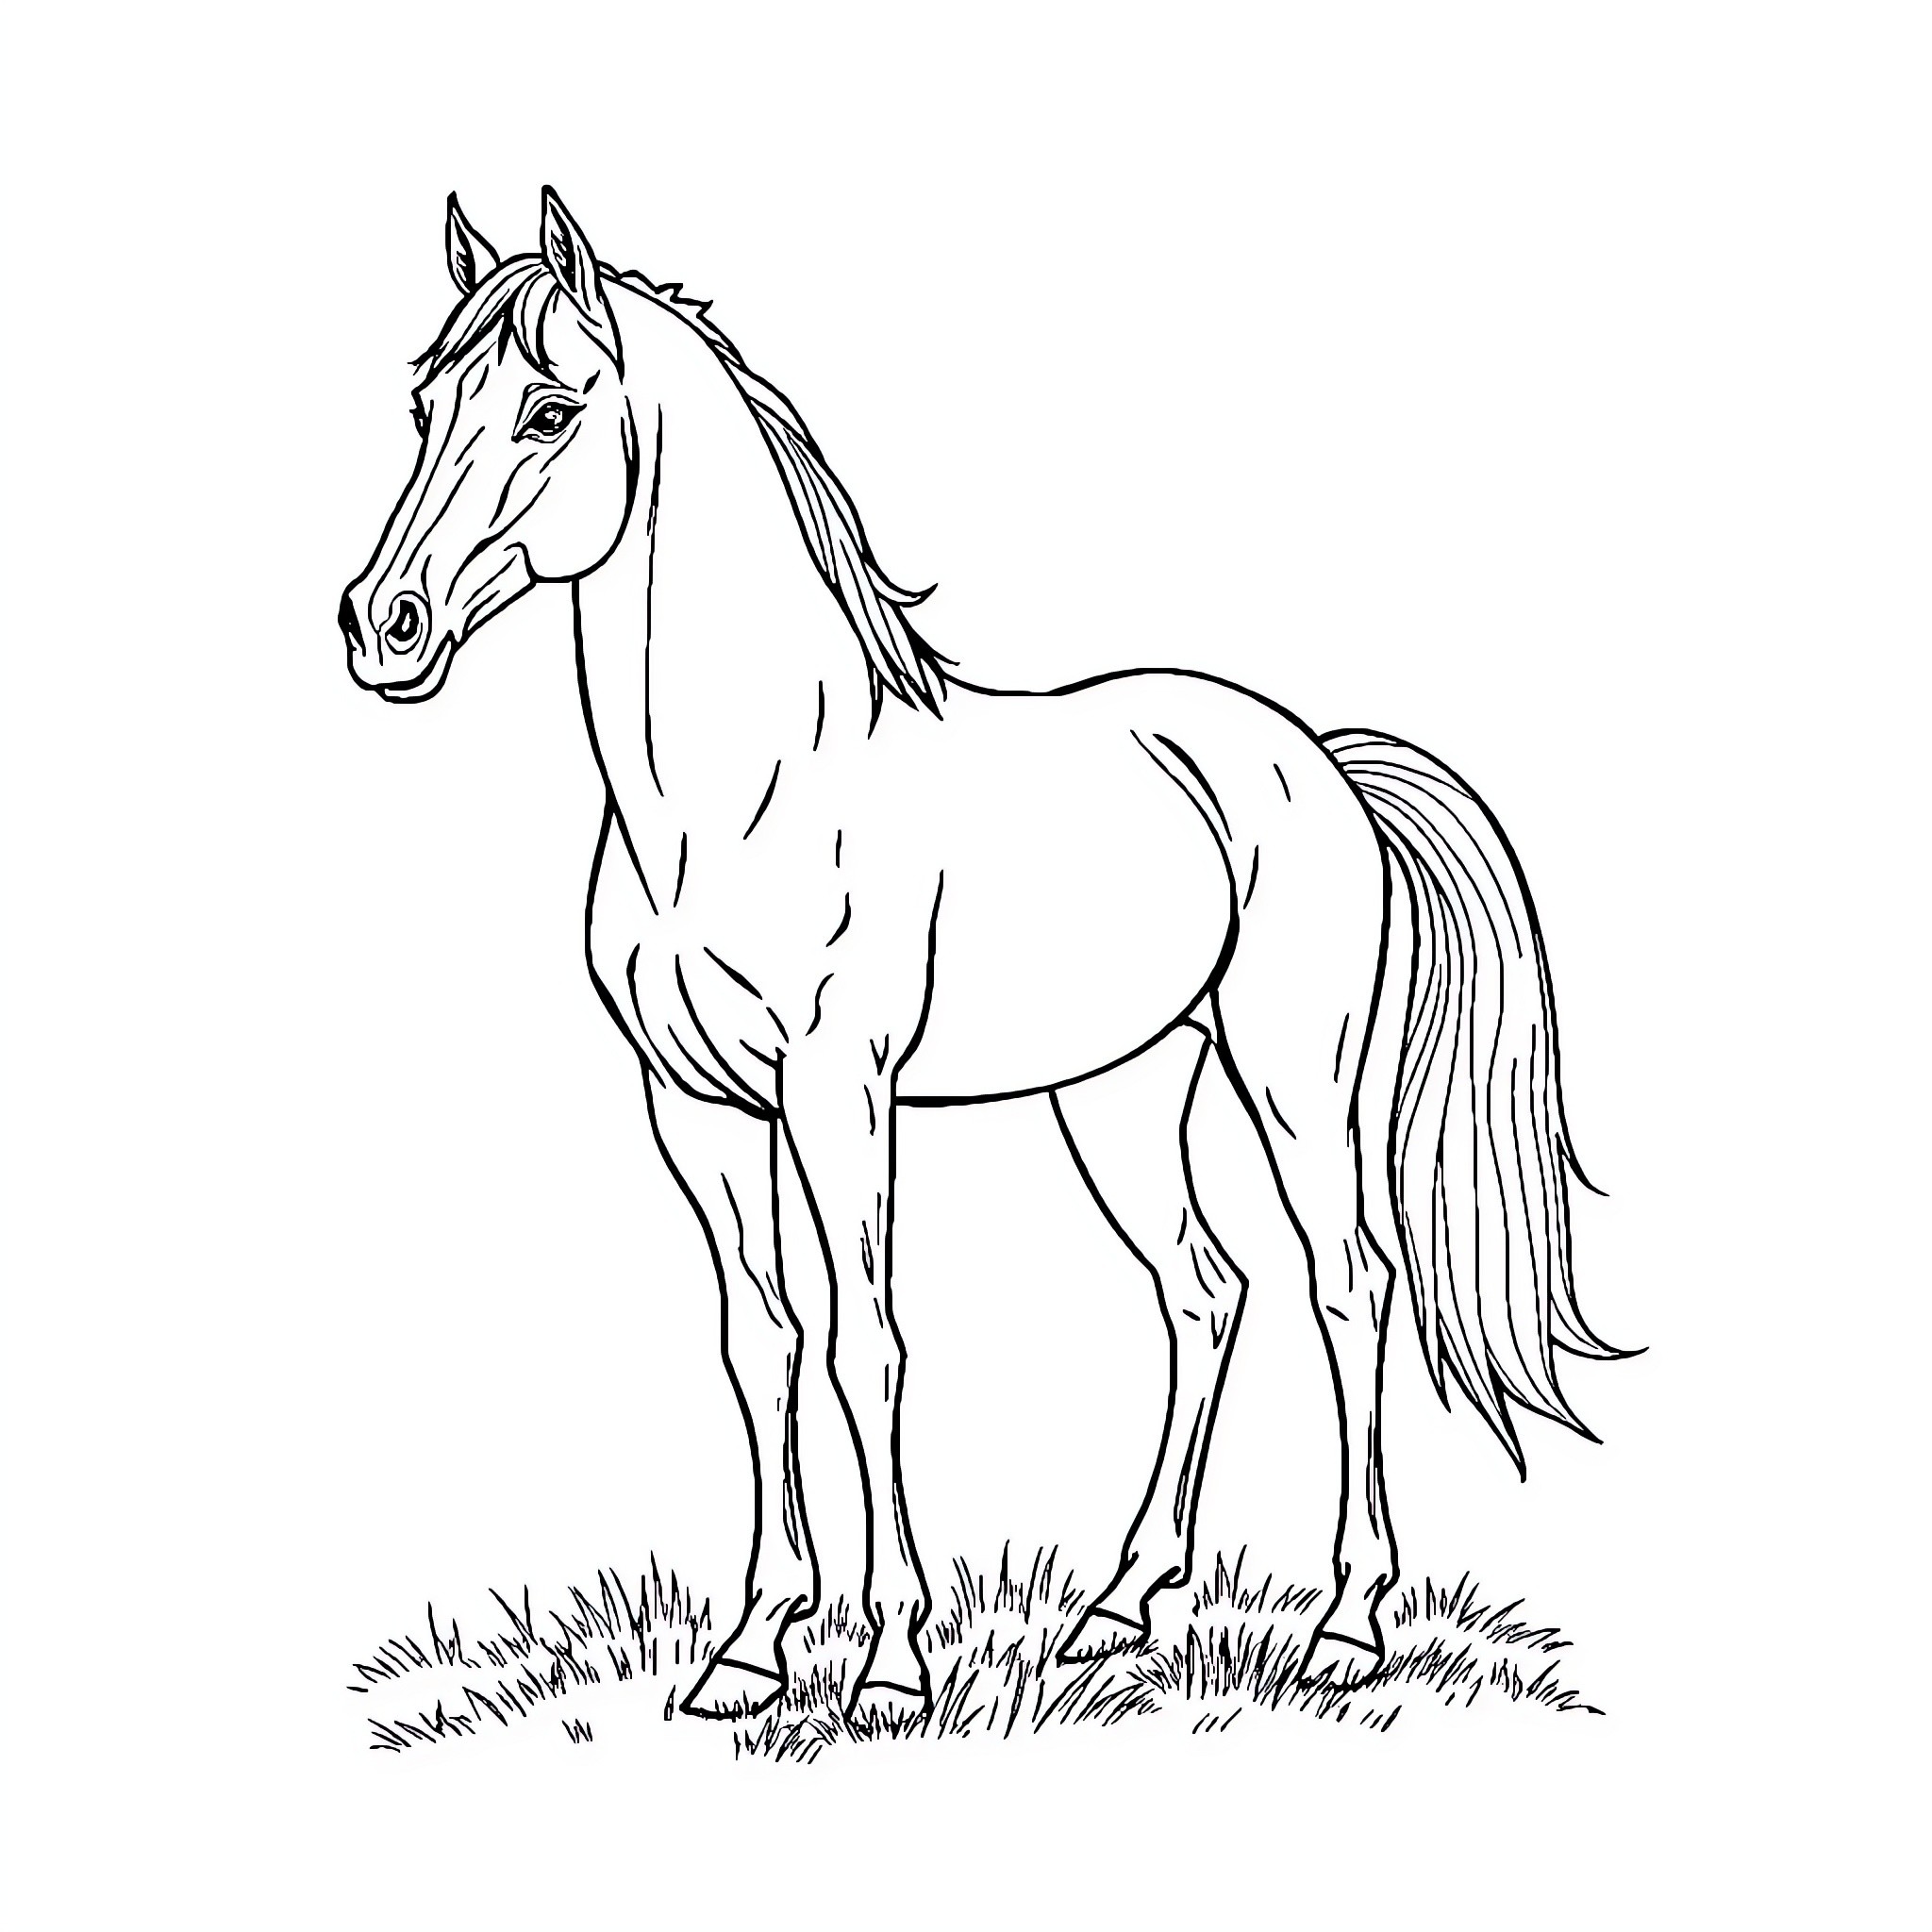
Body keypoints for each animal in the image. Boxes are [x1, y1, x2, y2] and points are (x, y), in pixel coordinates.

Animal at [340, 189, 1626, 1723]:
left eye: (548, 410)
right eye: (423, 408)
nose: (381, 626)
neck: (741, 793)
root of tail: (1314, 758)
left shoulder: (840, 1091)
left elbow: (867, 1340)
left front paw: (891, 1658)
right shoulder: (697, 1108)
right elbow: (762, 1342)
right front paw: (753, 1645)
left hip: (1294, 1086)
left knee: (1347, 1287)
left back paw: (1345, 1623)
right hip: (1121, 1095)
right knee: (1205, 1291)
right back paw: (1121, 1605)